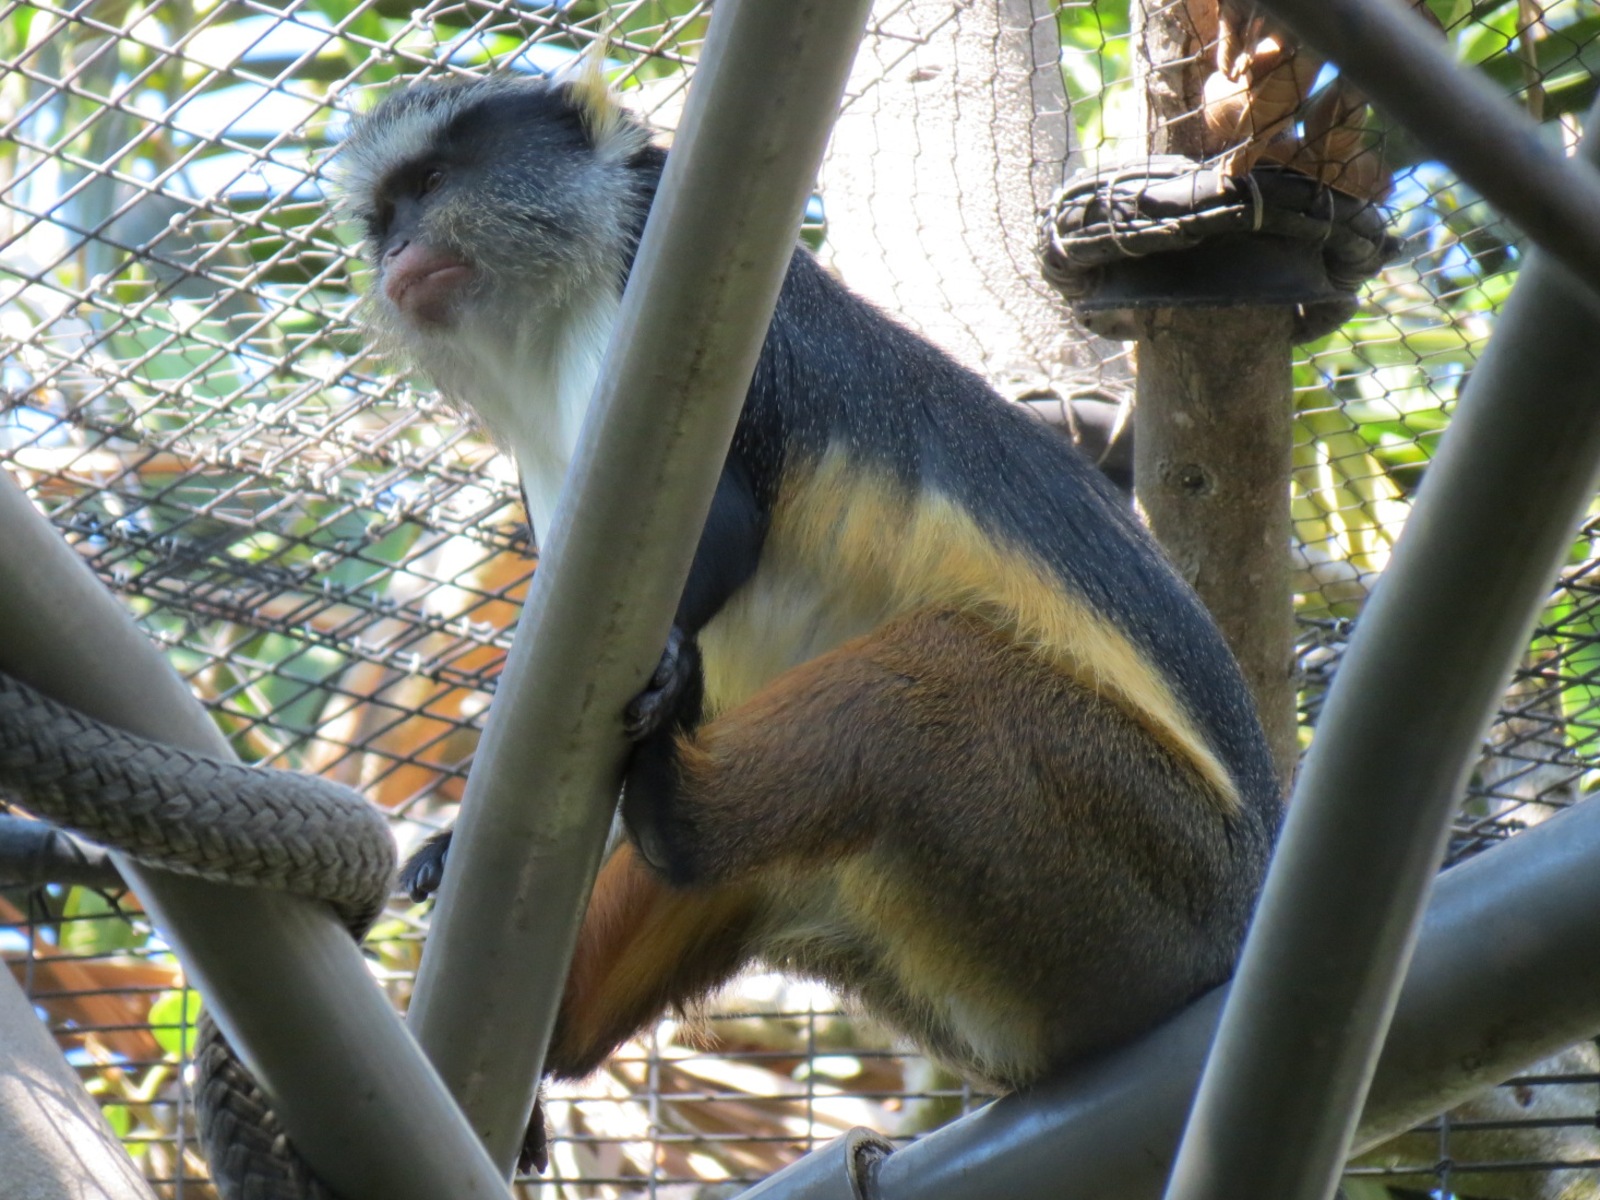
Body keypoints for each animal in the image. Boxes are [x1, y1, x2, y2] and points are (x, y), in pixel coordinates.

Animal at [335, 71, 1283, 1171]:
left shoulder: (655, 273)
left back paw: (676, 813)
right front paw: (451, 847)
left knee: (935, 678)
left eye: (432, 182)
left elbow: (730, 527)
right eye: (382, 217)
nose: (396, 252)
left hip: (1156, 874)